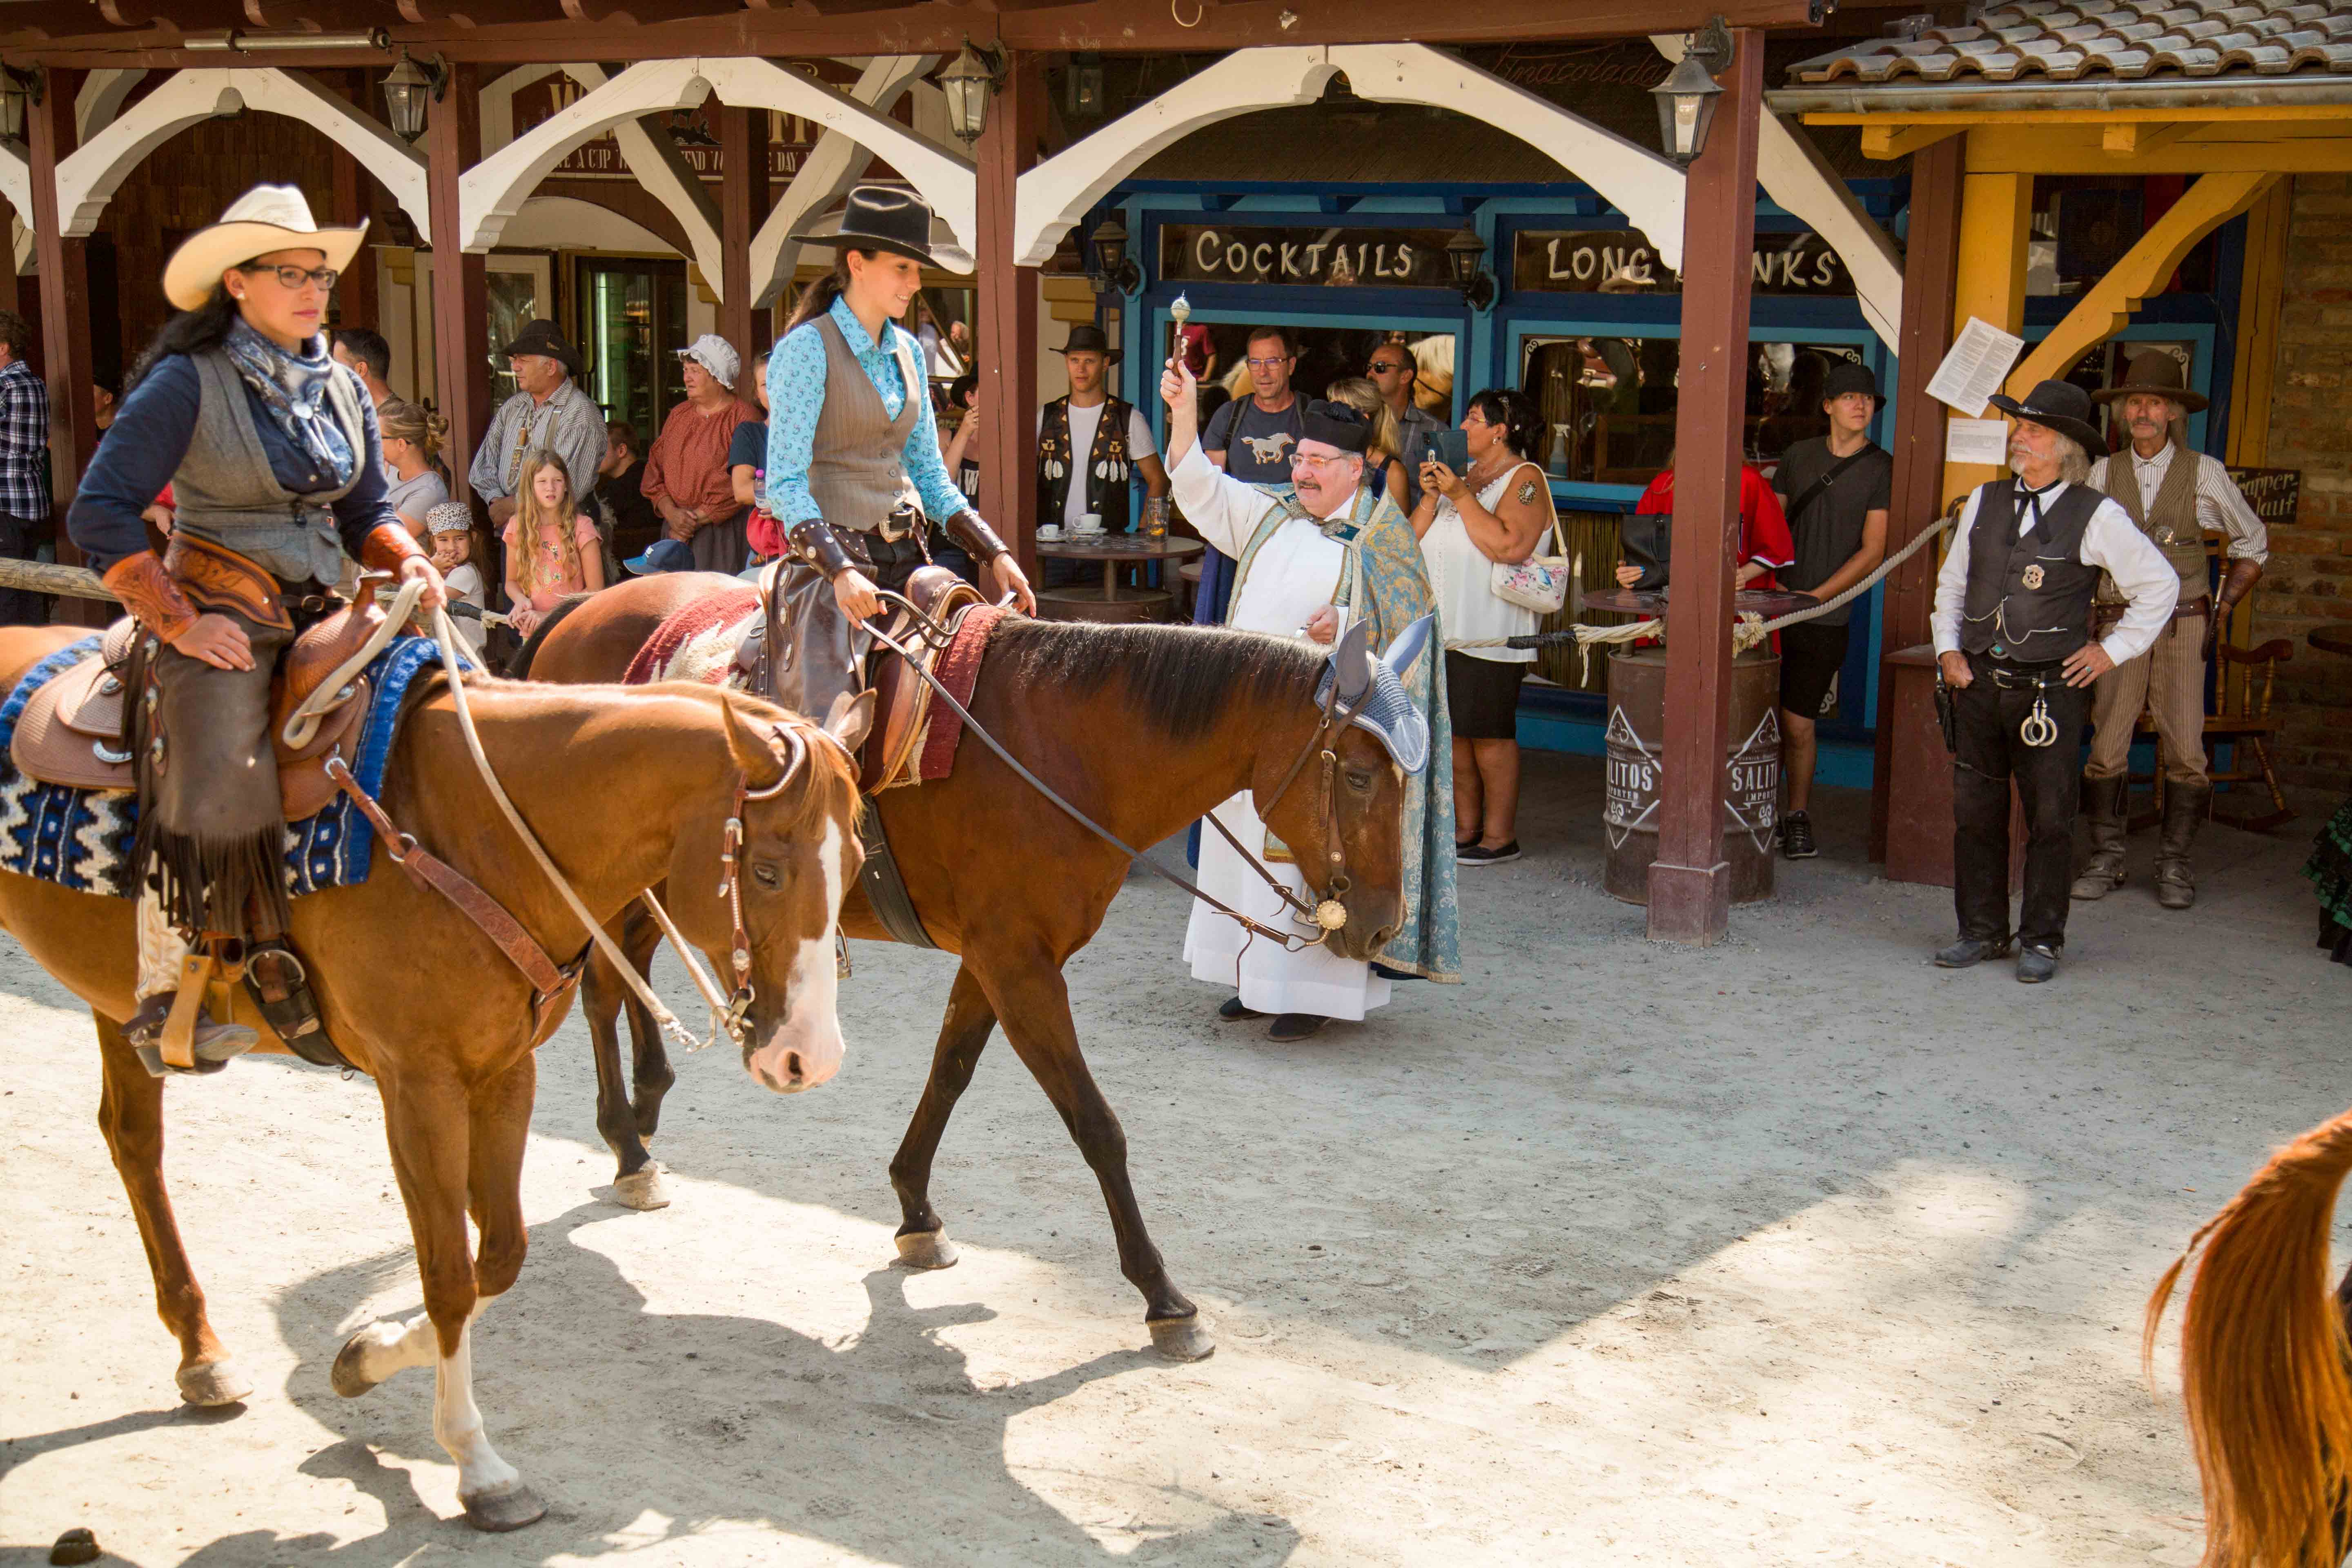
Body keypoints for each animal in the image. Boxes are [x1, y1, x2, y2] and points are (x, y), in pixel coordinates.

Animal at [0, 625, 865, 1532]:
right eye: (766, 871)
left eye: (858, 863)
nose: (810, 1056)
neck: (476, 830)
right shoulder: (418, 1086)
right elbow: (449, 1273)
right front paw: (478, 1467)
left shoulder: (505, 1071)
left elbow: (501, 1254)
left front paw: (366, 1355)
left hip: (115, 1003)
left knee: (133, 1142)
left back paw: (201, 1355)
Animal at [519, 576, 1411, 1363]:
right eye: (1359, 774)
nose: (1382, 924)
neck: (1062, 750)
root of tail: (577, 611)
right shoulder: (1020, 968)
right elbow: (1096, 1126)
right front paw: (1164, 1298)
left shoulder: (995, 960)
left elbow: (949, 1073)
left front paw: (916, 1212)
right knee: (599, 989)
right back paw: (628, 1146)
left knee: (629, 969)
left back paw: (647, 1105)